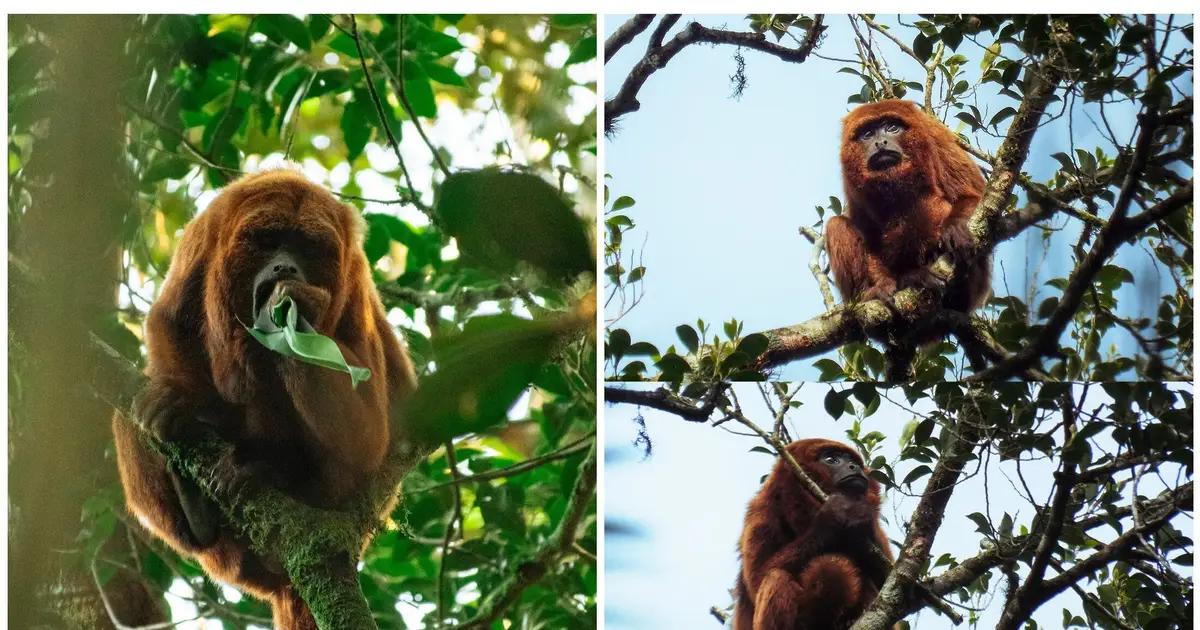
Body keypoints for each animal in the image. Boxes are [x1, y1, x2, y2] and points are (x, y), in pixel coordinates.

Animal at [111, 169, 417, 629]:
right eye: (270, 240)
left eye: (307, 247)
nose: (285, 266)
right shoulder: (205, 234)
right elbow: (168, 320)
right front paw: (176, 404)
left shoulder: (354, 285)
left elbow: (368, 438)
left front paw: (301, 311)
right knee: (129, 412)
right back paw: (195, 509)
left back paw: (264, 465)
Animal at [733, 439, 894, 630]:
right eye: (830, 459)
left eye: (852, 460)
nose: (854, 466)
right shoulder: (761, 512)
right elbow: (757, 579)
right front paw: (833, 517)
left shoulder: (877, 530)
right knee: (776, 577)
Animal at [825, 99, 991, 319]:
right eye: (867, 134)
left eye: (892, 128)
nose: (880, 142)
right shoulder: (851, 185)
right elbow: (868, 238)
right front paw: (880, 288)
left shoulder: (936, 137)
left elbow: (973, 193)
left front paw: (955, 227)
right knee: (836, 225)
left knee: (928, 203)